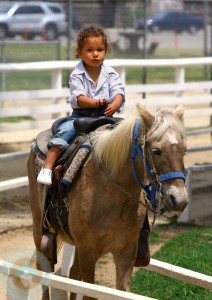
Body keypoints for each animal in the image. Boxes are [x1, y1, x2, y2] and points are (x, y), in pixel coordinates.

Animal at [27, 104, 189, 298]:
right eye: (156, 151)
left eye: (184, 150)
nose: (179, 199)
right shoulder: (88, 252)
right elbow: (89, 293)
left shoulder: (126, 252)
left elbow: (121, 290)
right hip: (39, 231)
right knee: (44, 272)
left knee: (73, 274)